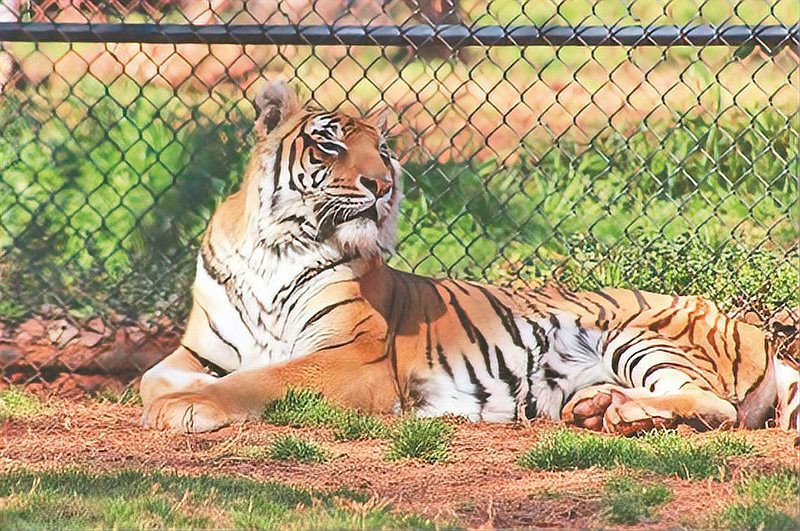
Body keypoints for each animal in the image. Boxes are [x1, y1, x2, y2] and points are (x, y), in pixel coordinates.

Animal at [139, 80, 798, 435]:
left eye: (382, 151)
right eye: (330, 143)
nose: (383, 184)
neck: (275, 246)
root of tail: (754, 330)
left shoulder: (353, 358)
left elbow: (264, 379)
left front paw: (189, 407)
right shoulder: (197, 351)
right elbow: (150, 379)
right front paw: (171, 400)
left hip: (640, 334)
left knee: (716, 406)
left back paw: (613, 411)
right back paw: (595, 408)